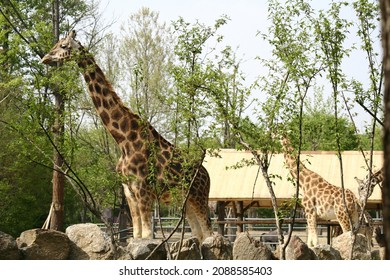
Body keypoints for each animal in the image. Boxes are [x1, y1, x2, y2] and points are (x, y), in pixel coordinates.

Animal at [41, 30, 213, 241]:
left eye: (64, 46)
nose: (45, 58)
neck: (123, 139)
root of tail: (207, 175)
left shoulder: (143, 189)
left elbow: (146, 234)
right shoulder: (129, 191)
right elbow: (137, 234)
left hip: (199, 197)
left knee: (210, 233)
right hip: (185, 200)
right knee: (199, 234)